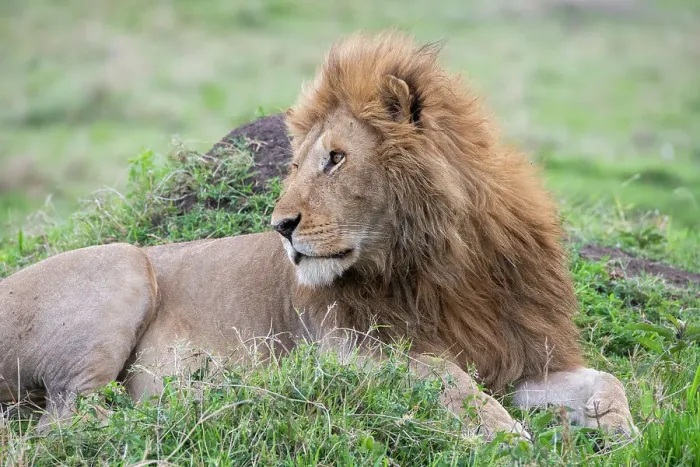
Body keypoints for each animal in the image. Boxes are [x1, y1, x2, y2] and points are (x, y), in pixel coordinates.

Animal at [0, 31, 636, 439]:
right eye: (297, 163)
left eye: (335, 159)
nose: (280, 227)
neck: (444, 267)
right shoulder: (349, 349)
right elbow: (449, 379)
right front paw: (505, 435)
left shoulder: (518, 353)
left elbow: (608, 381)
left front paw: (618, 431)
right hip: (124, 265)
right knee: (67, 420)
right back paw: (221, 402)